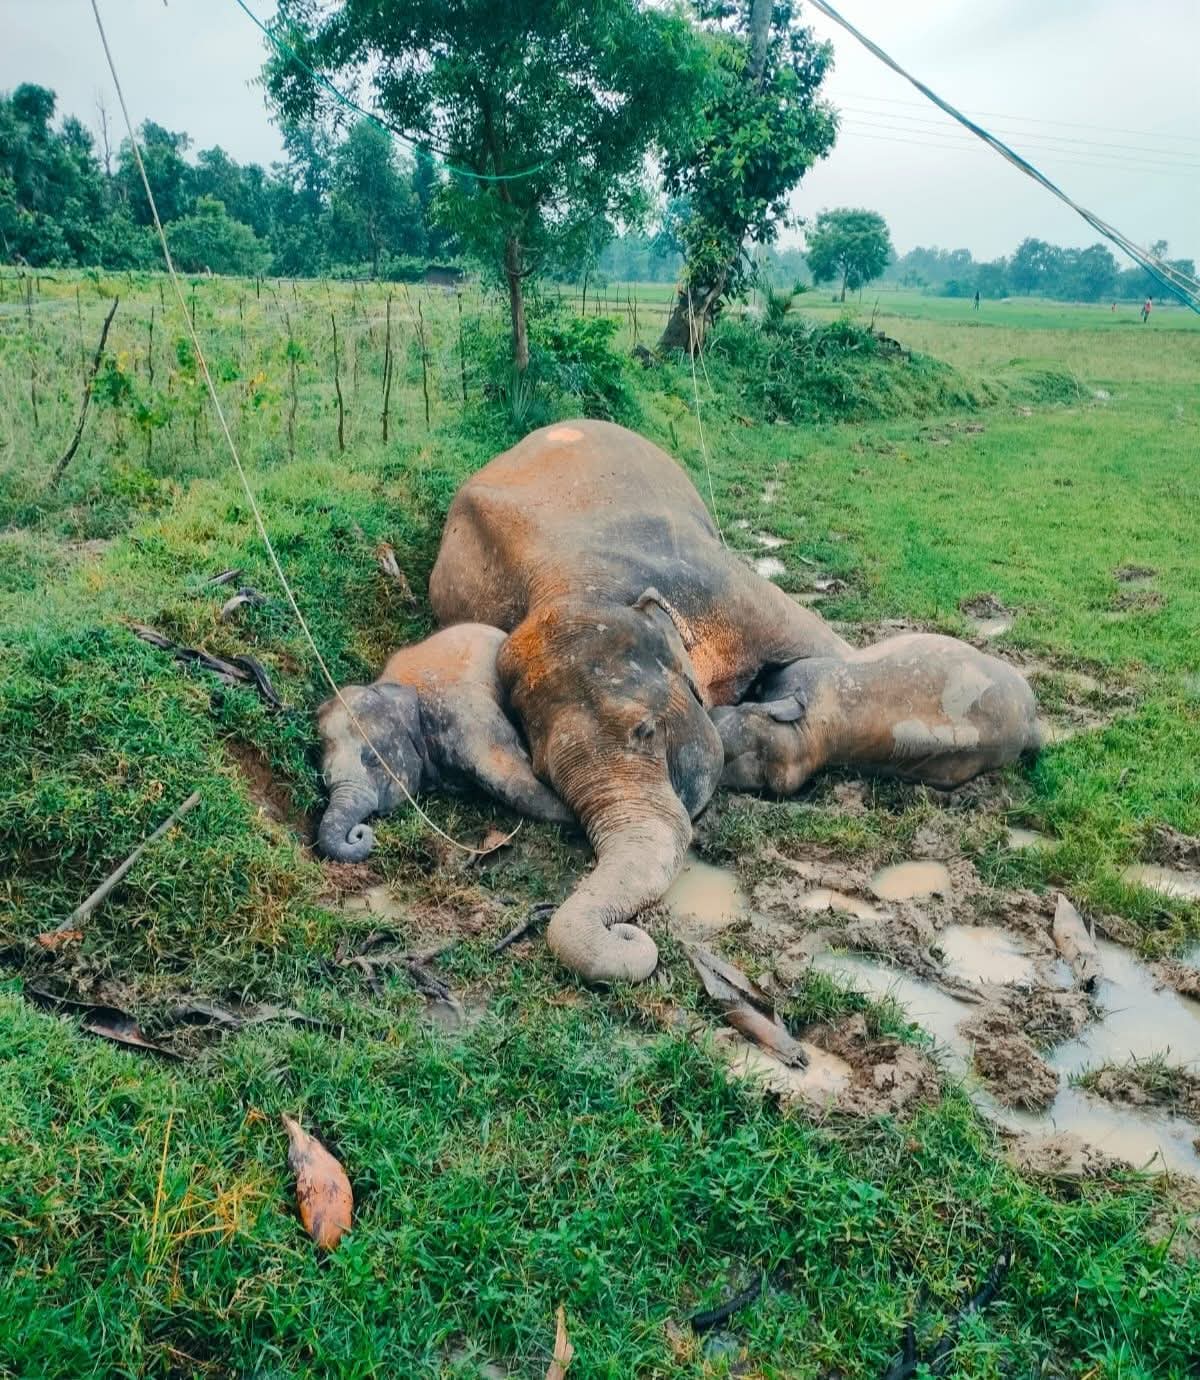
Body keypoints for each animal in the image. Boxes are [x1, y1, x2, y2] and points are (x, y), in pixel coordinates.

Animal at [317, 622, 570, 862]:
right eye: (325, 777)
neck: (391, 685)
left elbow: (508, 777)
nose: (358, 833)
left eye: (372, 759)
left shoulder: (464, 713)